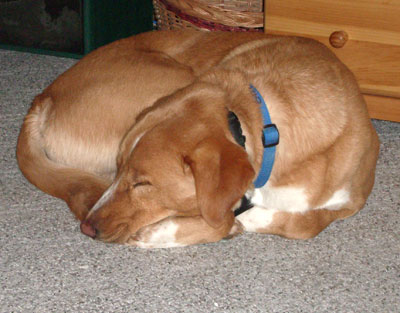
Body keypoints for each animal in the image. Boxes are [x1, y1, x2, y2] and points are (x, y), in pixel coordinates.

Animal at [16, 30, 378, 247]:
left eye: (143, 184)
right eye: (120, 169)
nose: (87, 228)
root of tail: (42, 99)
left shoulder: (352, 199)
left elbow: (304, 223)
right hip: (173, 75)